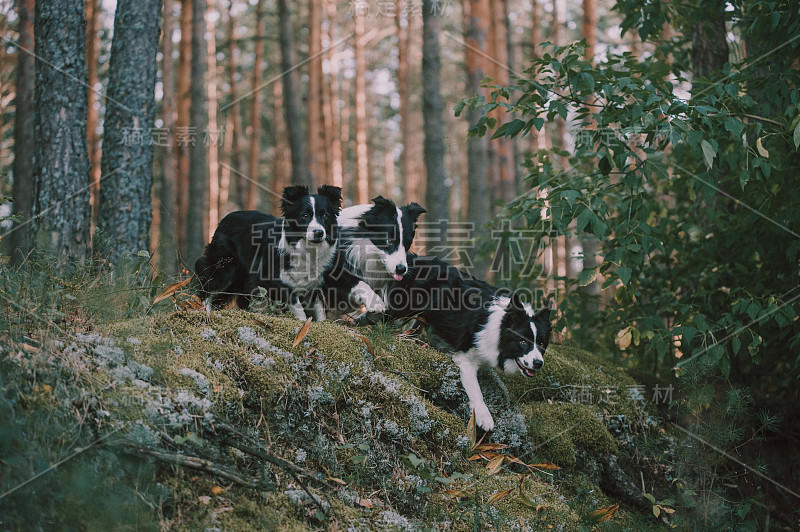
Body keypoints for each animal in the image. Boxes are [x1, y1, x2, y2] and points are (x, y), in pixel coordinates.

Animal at [197, 185, 344, 322]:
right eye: (305, 216)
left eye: (325, 216)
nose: (319, 233)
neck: (308, 249)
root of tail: (225, 218)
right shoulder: (272, 278)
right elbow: (295, 302)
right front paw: (303, 322)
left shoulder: (317, 282)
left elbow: (319, 307)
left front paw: (320, 323)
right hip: (225, 266)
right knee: (208, 284)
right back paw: (204, 310)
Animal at [386, 254, 552, 432]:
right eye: (522, 341)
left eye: (541, 344)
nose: (538, 363)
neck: (499, 326)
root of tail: (412, 258)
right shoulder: (465, 359)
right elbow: (476, 390)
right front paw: (484, 417)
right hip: (400, 311)